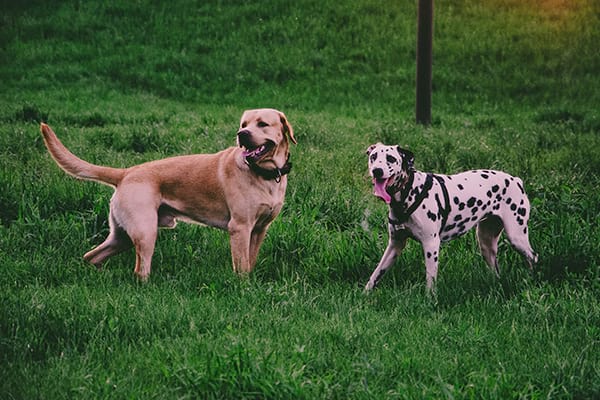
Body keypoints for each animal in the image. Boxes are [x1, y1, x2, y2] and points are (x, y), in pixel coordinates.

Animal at [40, 108, 298, 280]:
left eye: (262, 124)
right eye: (244, 123)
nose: (241, 134)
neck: (265, 174)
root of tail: (126, 173)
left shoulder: (259, 229)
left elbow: (250, 261)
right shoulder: (240, 228)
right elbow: (242, 266)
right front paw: (243, 287)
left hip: (121, 236)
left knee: (91, 256)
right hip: (145, 232)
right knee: (139, 271)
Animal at [366, 143, 540, 290]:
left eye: (391, 158)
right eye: (373, 157)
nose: (377, 170)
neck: (409, 191)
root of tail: (516, 180)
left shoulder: (431, 245)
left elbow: (430, 281)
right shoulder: (395, 245)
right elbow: (376, 273)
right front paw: (365, 294)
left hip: (517, 238)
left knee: (533, 257)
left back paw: (533, 280)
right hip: (486, 243)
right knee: (496, 270)